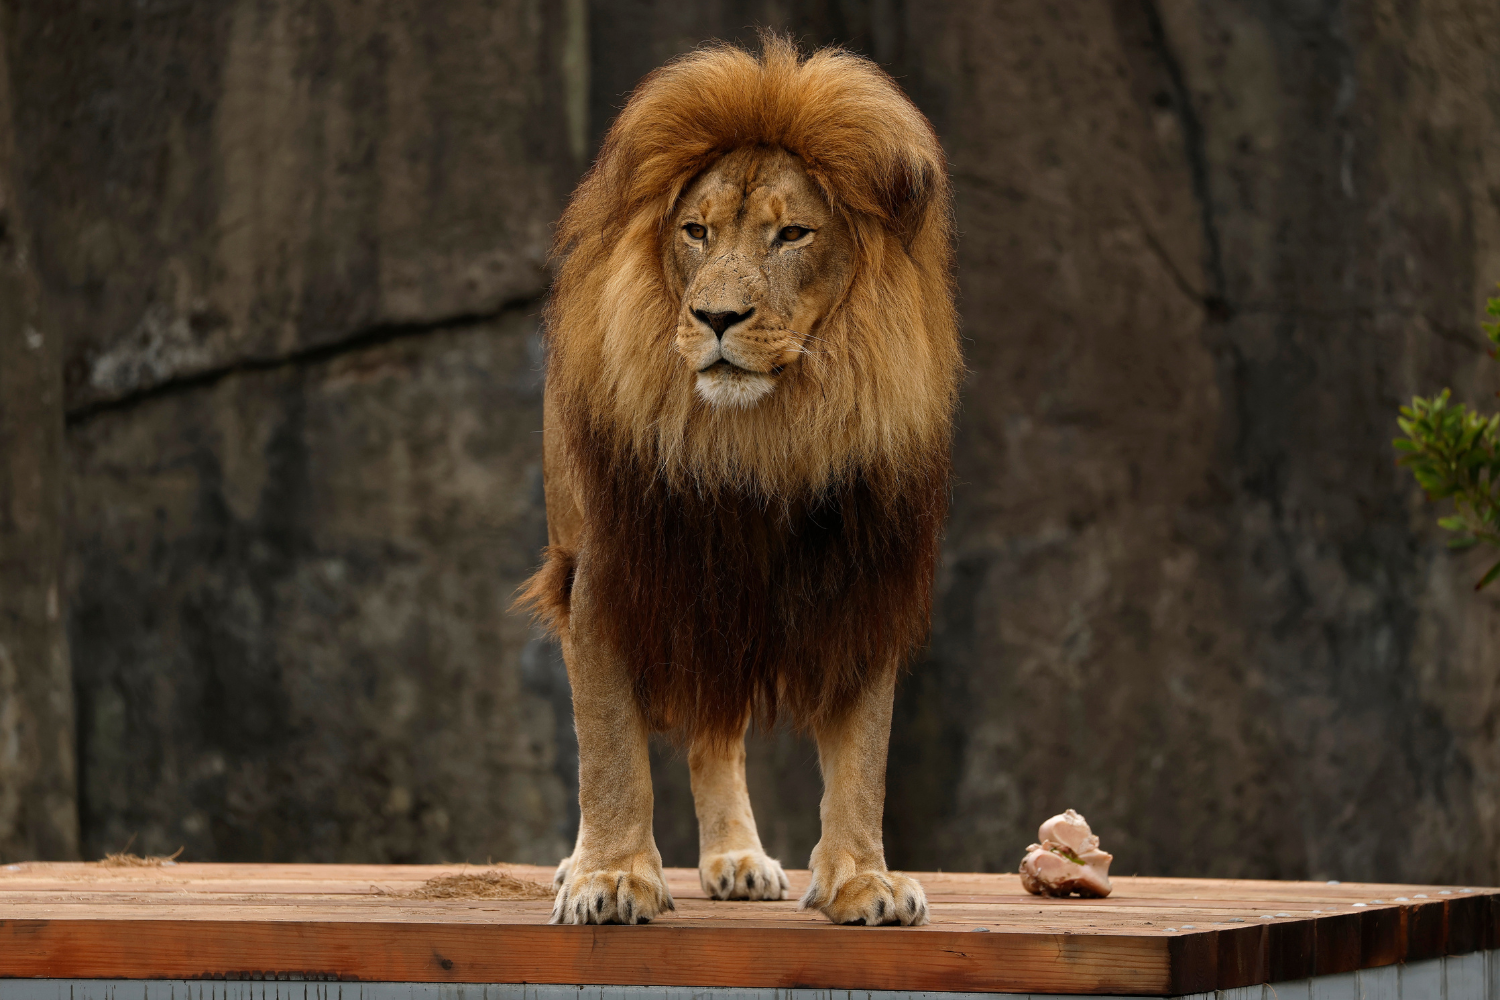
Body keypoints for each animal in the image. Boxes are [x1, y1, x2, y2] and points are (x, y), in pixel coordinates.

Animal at [517, 36, 959, 926]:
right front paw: (611, 876)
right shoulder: (609, 575)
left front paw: (862, 879)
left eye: (791, 233)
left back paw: (737, 857)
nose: (716, 317)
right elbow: (607, 747)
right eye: (696, 231)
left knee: (715, 733)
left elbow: (864, 756)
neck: (763, 440)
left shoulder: (865, 579)